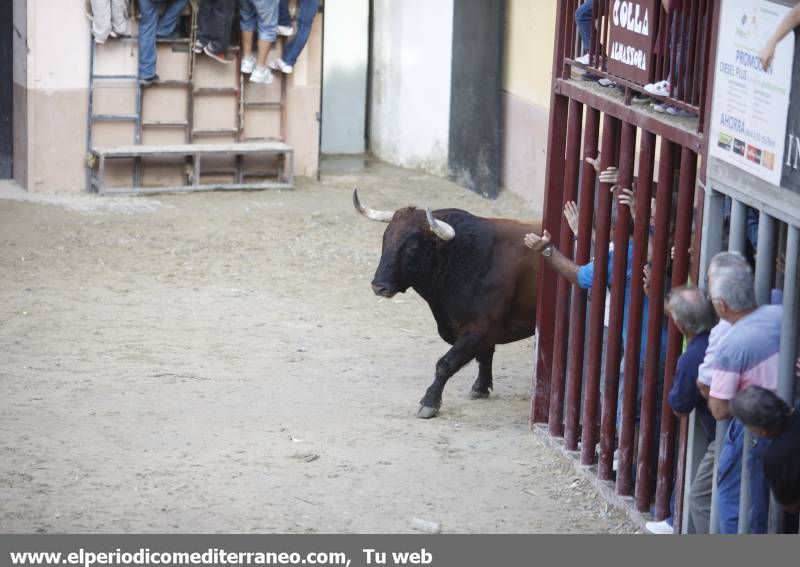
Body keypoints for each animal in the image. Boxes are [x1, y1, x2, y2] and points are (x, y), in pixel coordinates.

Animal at [354, 190, 540, 418]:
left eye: (412, 247)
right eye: (385, 239)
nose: (378, 286)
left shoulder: (482, 327)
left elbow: (446, 363)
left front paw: (429, 402)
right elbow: (484, 355)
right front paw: (480, 387)